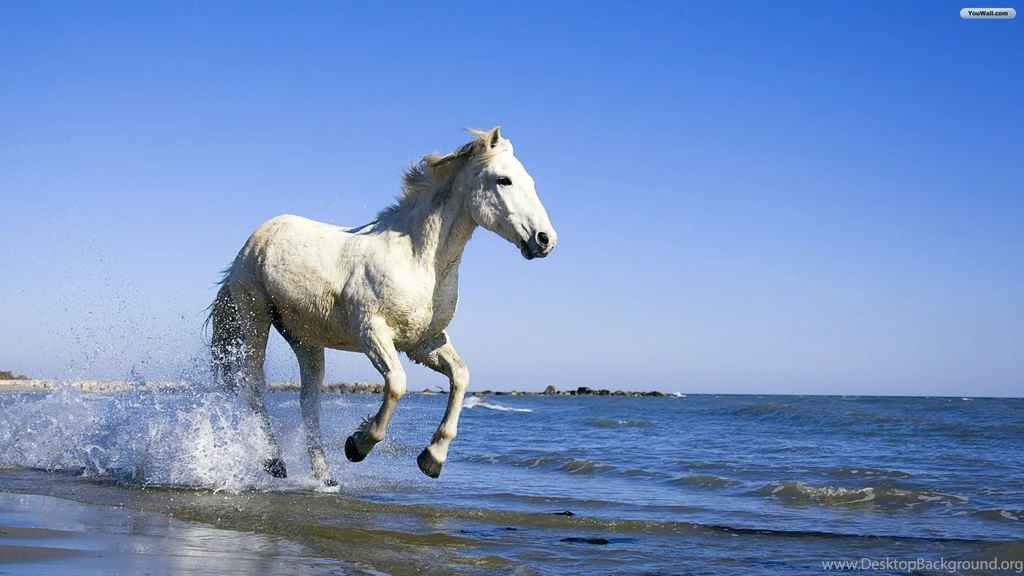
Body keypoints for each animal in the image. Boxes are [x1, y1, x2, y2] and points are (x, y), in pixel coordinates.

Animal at [209, 127, 557, 486]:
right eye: (504, 180)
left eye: (529, 181)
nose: (545, 239)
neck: (416, 258)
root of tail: (254, 240)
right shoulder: (372, 332)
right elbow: (397, 384)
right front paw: (357, 445)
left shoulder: (423, 342)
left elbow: (460, 377)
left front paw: (432, 459)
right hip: (255, 317)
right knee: (253, 385)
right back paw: (275, 462)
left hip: (305, 339)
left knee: (309, 402)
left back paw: (326, 478)